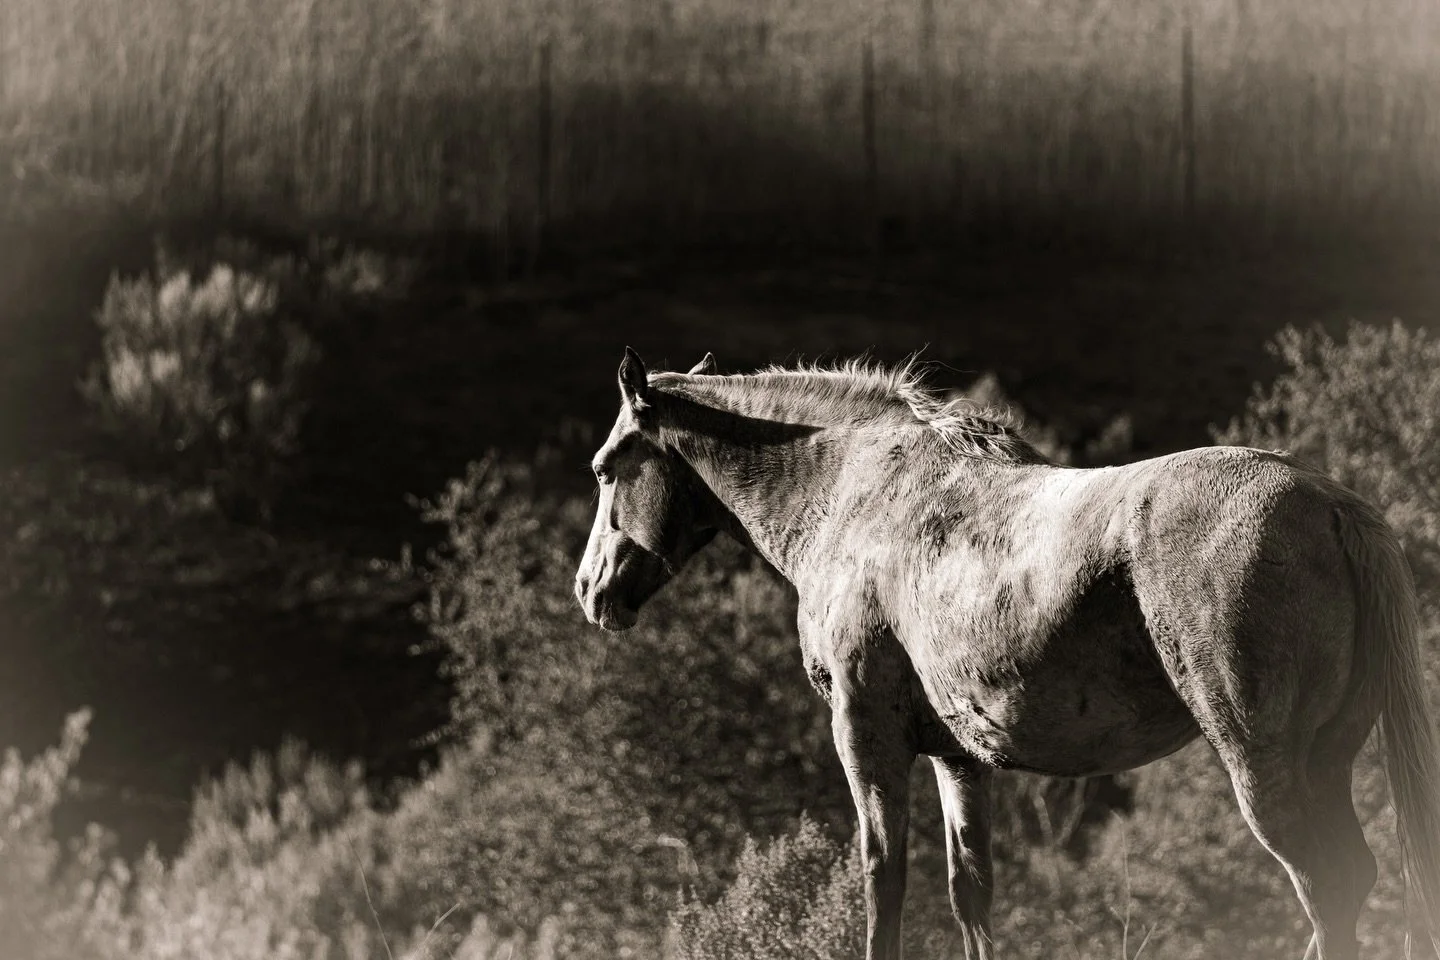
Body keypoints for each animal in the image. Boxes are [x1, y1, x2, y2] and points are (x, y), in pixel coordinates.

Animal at [573, 348, 1440, 960]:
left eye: (608, 467)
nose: (590, 589)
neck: (857, 495)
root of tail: (1330, 504)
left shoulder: (865, 736)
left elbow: (883, 879)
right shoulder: (960, 757)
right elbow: (971, 891)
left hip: (1264, 765)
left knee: (1325, 888)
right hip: (1328, 760)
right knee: (1352, 885)